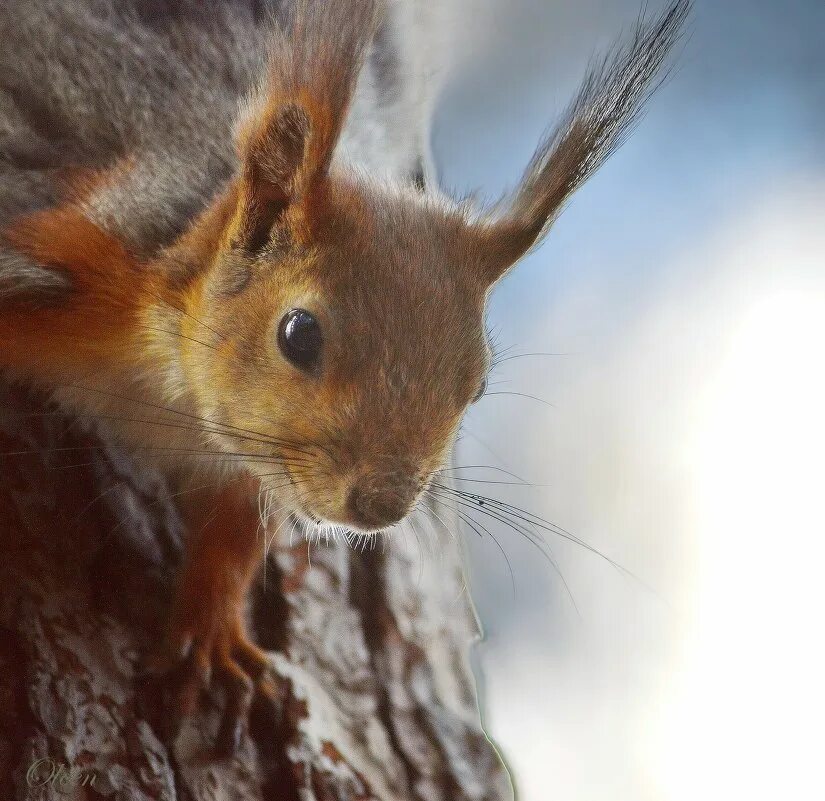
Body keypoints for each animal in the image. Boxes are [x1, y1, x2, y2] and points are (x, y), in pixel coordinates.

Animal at [0, 0, 688, 752]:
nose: (382, 504)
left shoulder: (254, 463)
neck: (171, 391)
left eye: (476, 383)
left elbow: (232, 535)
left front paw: (212, 637)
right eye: (299, 333)